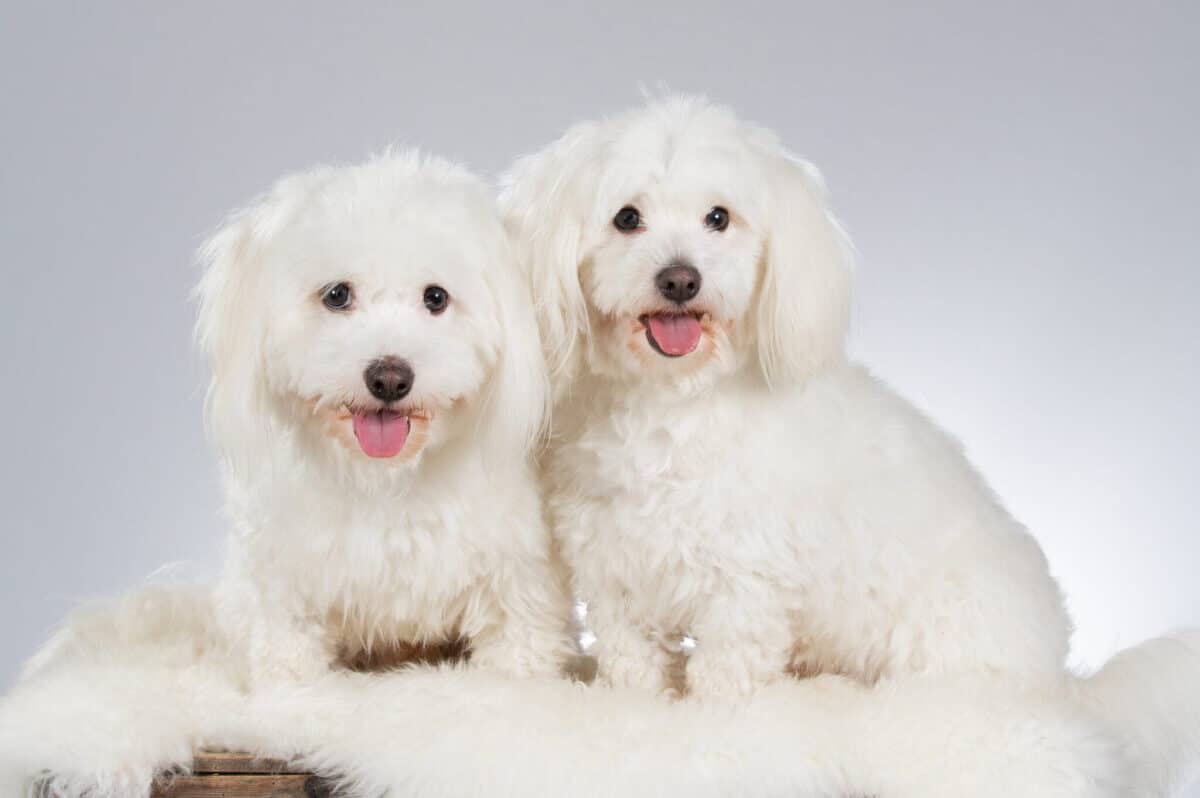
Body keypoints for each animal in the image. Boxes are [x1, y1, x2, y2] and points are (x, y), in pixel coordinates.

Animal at [196, 151, 571, 686]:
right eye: (337, 294)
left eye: (436, 297)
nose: (390, 379)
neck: (387, 477)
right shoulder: (281, 583)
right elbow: (289, 663)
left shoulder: (517, 581)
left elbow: (515, 661)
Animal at [501, 97, 1075, 696]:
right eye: (627, 218)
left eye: (719, 217)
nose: (680, 279)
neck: (673, 404)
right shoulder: (615, 563)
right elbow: (630, 653)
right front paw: (638, 698)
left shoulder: (746, 574)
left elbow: (728, 662)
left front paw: (715, 702)